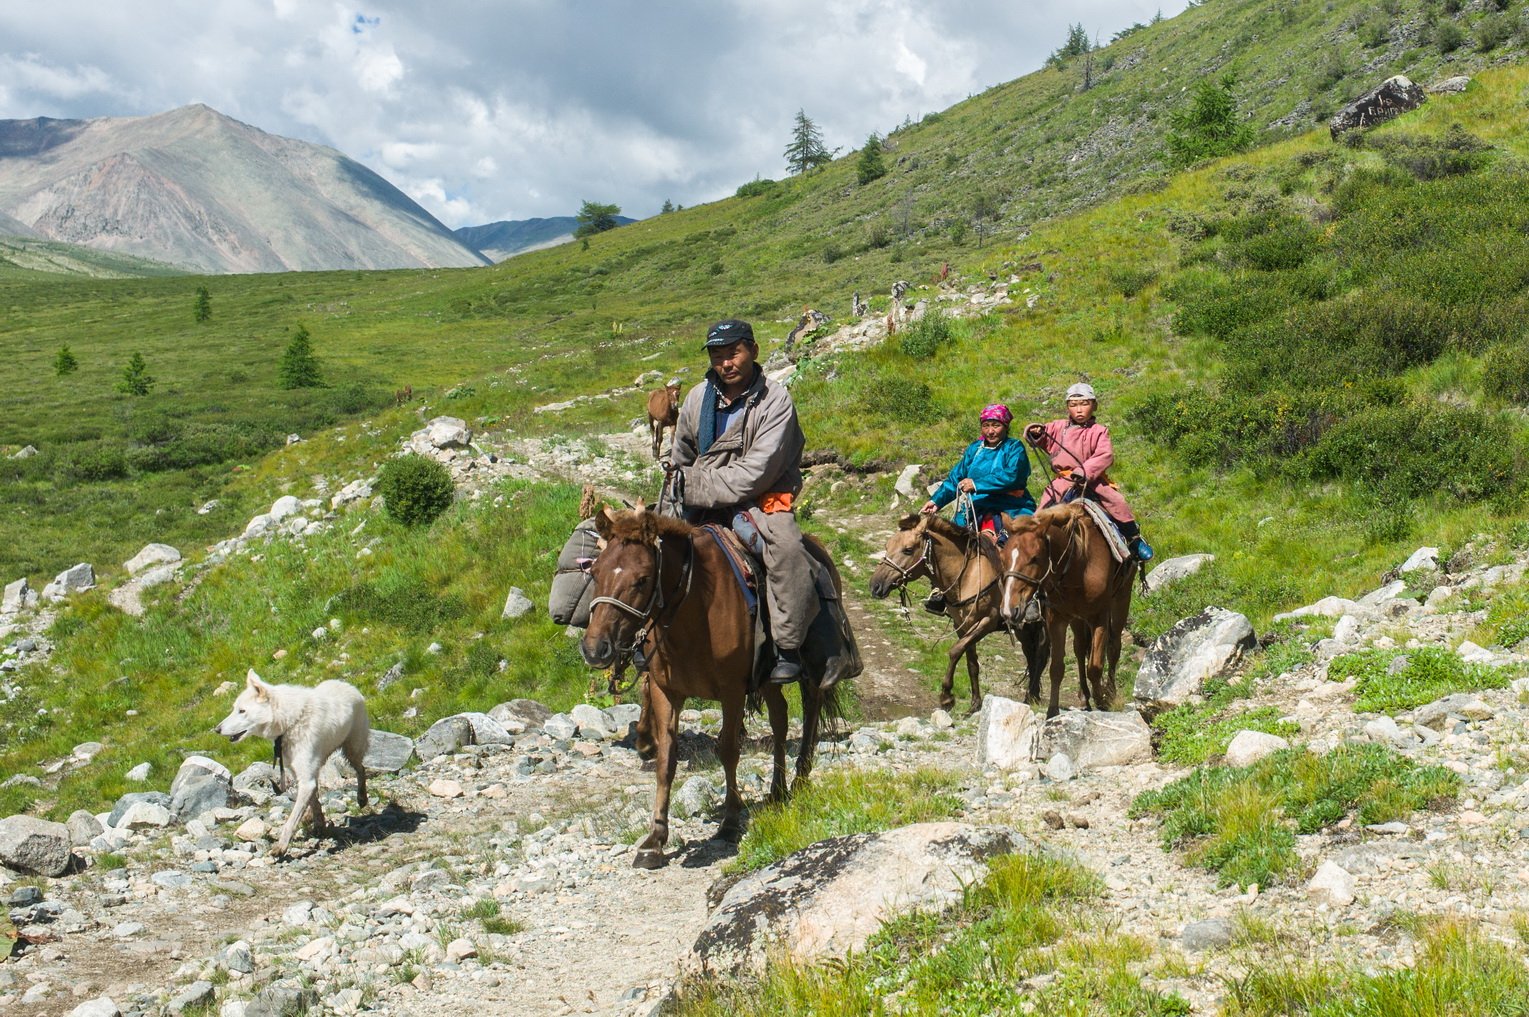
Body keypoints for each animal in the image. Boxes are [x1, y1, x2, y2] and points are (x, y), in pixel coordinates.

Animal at [214, 669, 368, 850]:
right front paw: (319, 824)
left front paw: (281, 847)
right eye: (235, 709)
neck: (289, 723)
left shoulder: (306, 779)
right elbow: (313, 802)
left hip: (353, 750)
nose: (217, 729)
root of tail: (348, 685)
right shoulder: (298, 774)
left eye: (242, 711)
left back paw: (362, 798)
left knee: (361, 769)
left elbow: (292, 819)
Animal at [581, 504, 844, 862]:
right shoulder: (666, 691)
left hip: (810, 669)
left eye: (642, 579)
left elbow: (729, 750)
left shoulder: (732, 691)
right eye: (594, 572)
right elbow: (666, 760)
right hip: (767, 679)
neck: (693, 613)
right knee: (779, 718)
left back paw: (800, 779)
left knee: (810, 709)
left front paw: (730, 822)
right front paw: (655, 838)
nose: (595, 649)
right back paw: (776, 791)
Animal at [874, 516, 1051, 712]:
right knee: (1031, 655)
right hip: (1022, 628)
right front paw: (975, 704)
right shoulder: (962, 624)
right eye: (887, 545)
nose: (876, 585)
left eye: (908, 549)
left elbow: (955, 651)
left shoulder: (987, 622)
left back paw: (1032, 696)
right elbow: (971, 662)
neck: (968, 575)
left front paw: (946, 697)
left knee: (1041, 654)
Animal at [1003, 504, 1137, 718]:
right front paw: (1052, 710)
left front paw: (1102, 700)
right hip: (1077, 619)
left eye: (1034, 558)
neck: (1079, 564)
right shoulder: (1056, 619)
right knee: (1080, 648)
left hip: (1121, 600)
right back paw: (1084, 696)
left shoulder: (1099, 616)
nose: (1010, 609)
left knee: (1114, 646)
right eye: (1003, 557)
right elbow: (1057, 668)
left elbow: (1095, 665)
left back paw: (1110, 692)